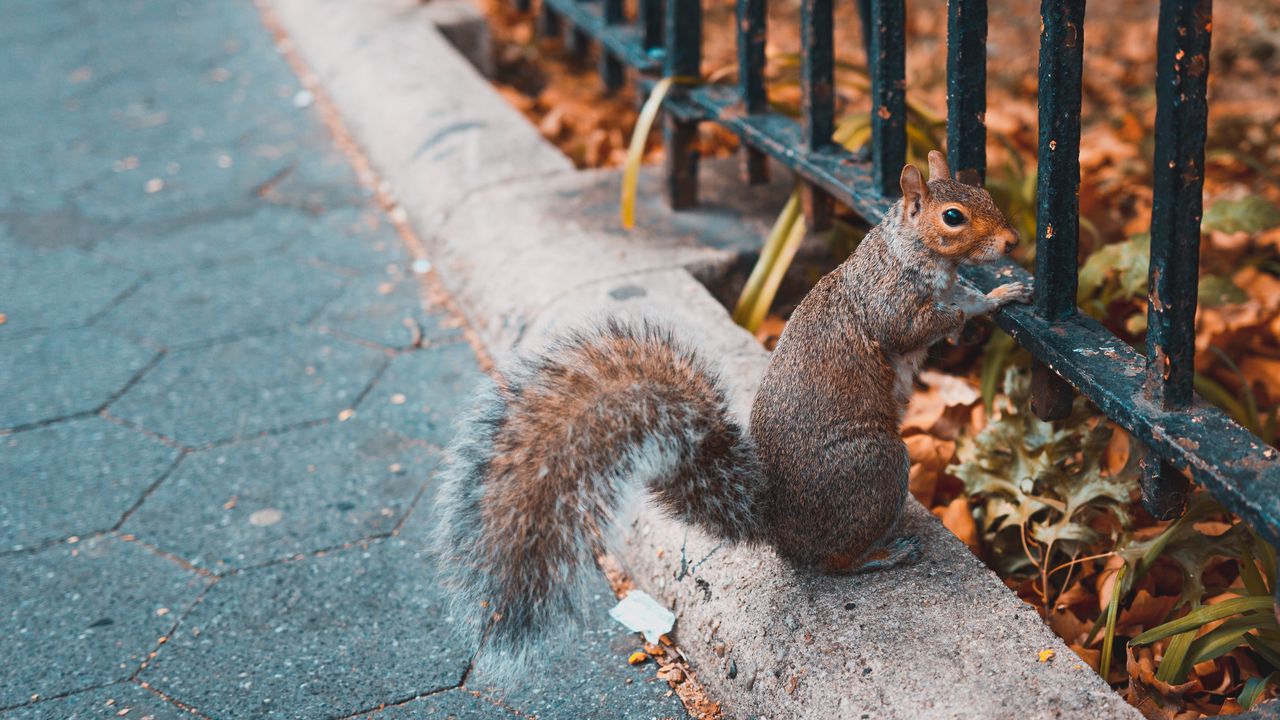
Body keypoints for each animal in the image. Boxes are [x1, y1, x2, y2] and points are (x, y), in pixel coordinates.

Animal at [435, 148, 1034, 671]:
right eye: (952, 217)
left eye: (983, 191)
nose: (1012, 240)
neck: (909, 252)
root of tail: (778, 523)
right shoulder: (890, 304)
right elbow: (925, 323)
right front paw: (988, 301)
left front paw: (998, 292)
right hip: (876, 464)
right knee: (831, 562)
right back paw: (881, 553)